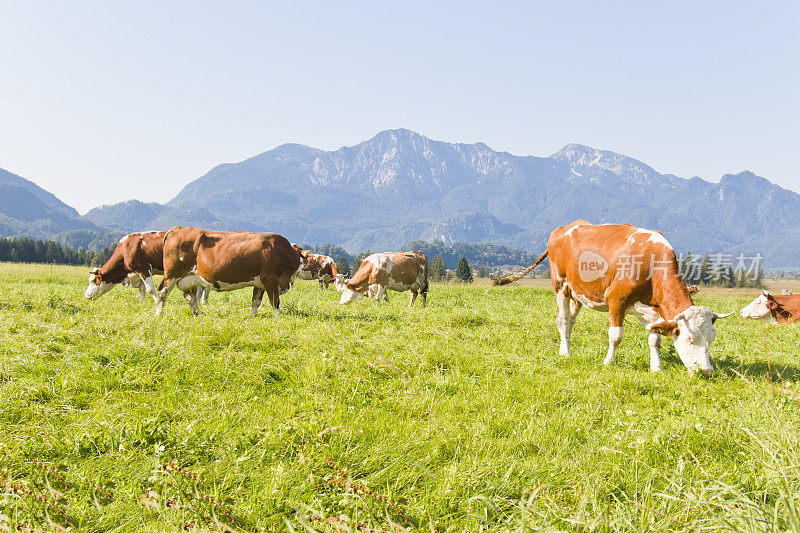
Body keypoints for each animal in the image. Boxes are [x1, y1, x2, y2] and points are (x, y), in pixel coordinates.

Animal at [155, 225, 304, 316]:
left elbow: (256, 302)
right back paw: (159, 315)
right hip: (172, 274)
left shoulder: (260, 283)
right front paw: (278, 319)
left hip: (189, 278)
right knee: (162, 293)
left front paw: (252, 318)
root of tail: (178, 228)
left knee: (190, 298)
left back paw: (199, 315)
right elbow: (275, 302)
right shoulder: (270, 279)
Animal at [494, 220, 732, 374]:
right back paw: (565, 352)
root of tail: (564, 228)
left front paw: (657, 368)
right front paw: (609, 362)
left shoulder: (654, 310)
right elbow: (616, 336)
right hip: (560, 284)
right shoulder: (617, 301)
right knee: (561, 319)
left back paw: (567, 343)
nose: (707, 371)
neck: (652, 263)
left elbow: (654, 339)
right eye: (690, 339)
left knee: (570, 320)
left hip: (578, 293)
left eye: (712, 339)